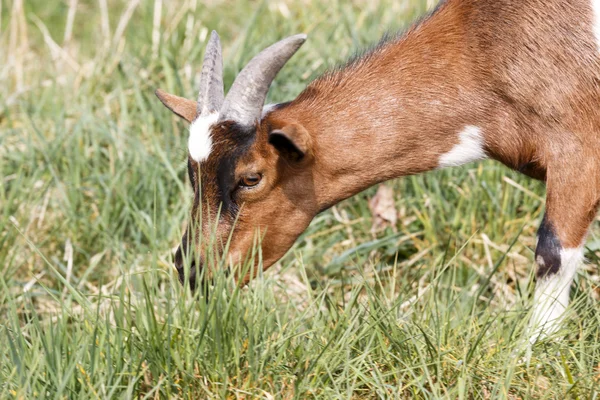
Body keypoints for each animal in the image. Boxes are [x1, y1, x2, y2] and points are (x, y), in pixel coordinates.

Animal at [154, 0, 600, 342]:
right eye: (192, 173)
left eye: (251, 177)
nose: (190, 269)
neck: (488, 45)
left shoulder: (578, 152)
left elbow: (551, 251)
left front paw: (532, 348)